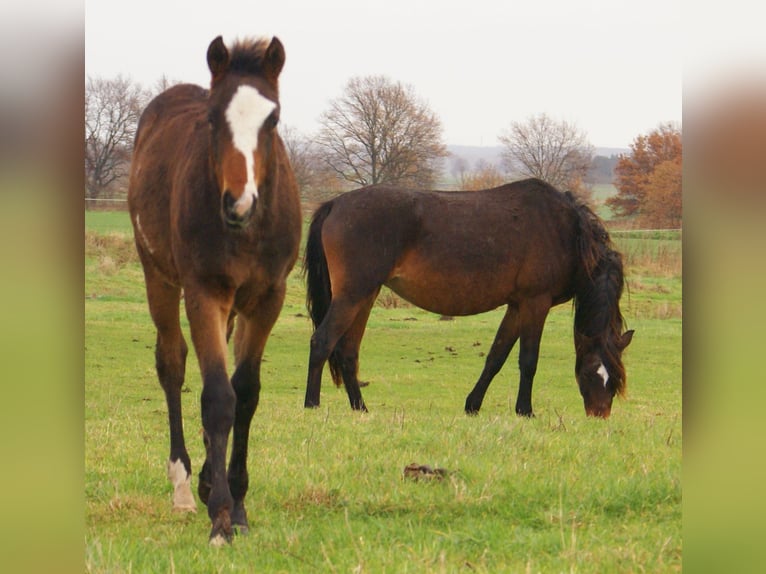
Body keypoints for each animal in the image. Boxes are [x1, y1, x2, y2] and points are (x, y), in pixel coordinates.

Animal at [127, 36, 301, 545]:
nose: (238, 203)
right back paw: (186, 486)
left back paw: (206, 477)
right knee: (172, 364)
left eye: (273, 118)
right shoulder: (203, 293)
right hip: (160, 280)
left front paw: (237, 503)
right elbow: (218, 397)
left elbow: (245, 392)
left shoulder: (268, 299)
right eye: (211, 118)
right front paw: (221, 516)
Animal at [303, 179, 633, 419]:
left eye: (614, 378)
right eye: (591, 372)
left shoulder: (516, 306)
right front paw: (525, 411)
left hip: (365, 295)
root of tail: (335, 204)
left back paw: (360, 408)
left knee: (348, 350)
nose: (599, 415)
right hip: (352, 295)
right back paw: (312, 404)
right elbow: (528, 360)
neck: (566, 230)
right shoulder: (535, 303)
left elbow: (496, 356)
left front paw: (473, 405)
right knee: (322, 341)